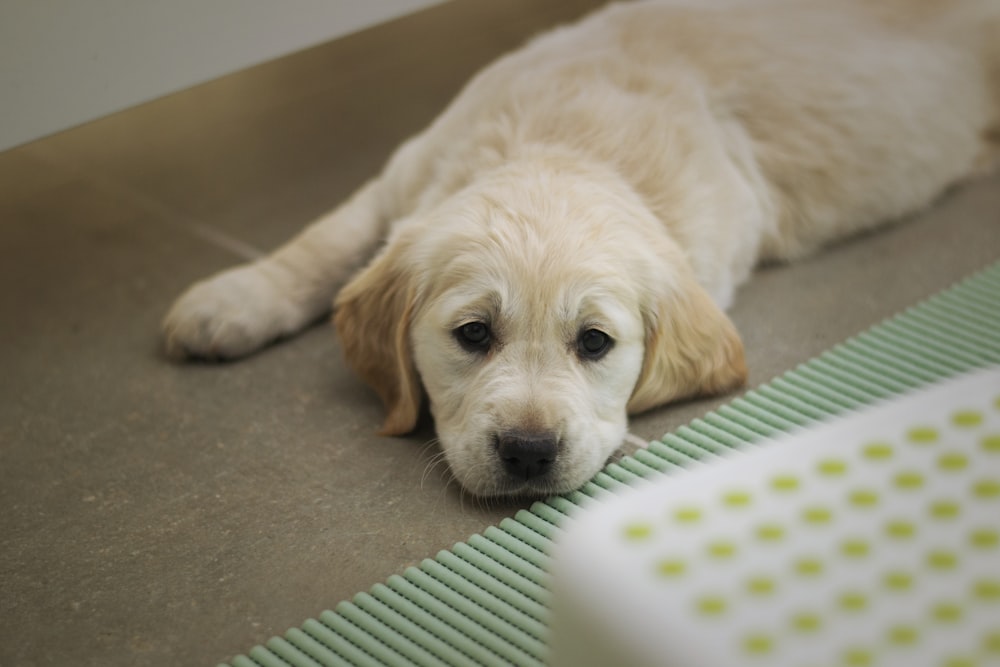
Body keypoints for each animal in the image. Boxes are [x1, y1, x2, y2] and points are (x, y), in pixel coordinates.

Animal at [164, 0, 1000, 498]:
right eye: (473, 333)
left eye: (595, 342)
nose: (530, 451)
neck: (562, 141)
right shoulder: (406, 171)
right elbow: (326, 239)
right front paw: (231, 300)